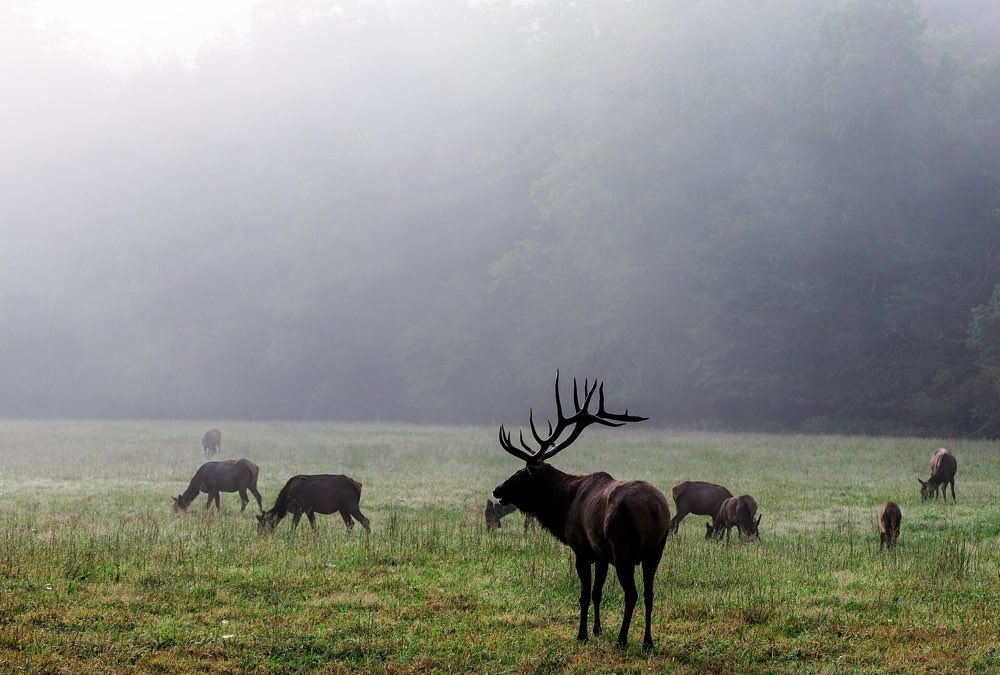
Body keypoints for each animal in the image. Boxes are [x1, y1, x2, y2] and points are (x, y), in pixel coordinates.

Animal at [492, 371, 670, 649]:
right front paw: (597, 629)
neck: (563, 506)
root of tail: (655, 510)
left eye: (520, 475)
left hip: (624, 547)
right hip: (656, 549)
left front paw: (582, 634)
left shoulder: (582, 549)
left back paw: (622, 639)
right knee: (650, 593)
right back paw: (648, 641)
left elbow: (584, 595)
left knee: (632, 594)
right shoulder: (601, 554)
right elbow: (597, 593)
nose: (497, 490)